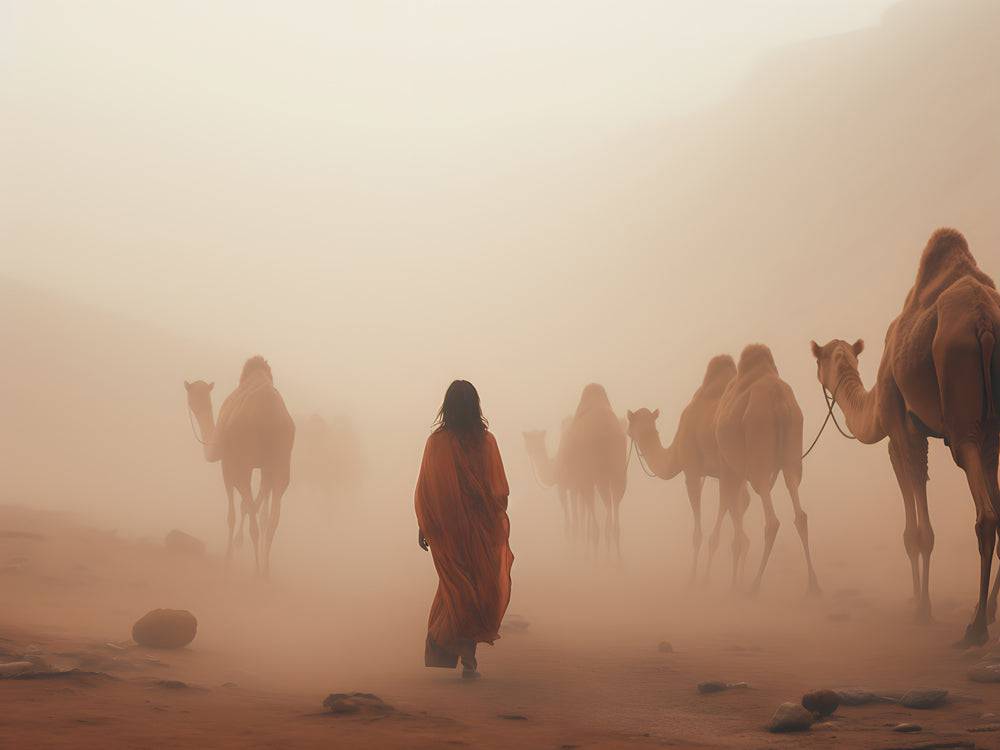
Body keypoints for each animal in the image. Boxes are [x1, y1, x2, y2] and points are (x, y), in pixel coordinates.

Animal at [185, 356, 294, 580]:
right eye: (194, 395)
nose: (193, 404)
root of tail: (270, 415)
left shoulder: (228, 465)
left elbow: (232, 515)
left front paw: (228, 561)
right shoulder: (264, 469)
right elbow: (256, 508)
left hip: (244, 463)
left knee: (253, 519)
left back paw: (255, 570)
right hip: (281, 464)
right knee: (272, 518)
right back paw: (265, 571)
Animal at [564, 384, 624, 556]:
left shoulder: (583, 479)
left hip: (597, 475)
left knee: (603, 512)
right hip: (618, 474)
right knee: (614, 508)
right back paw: (617, 556)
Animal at [624, 356, 752, 588]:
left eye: (631, 423)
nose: (627, 431)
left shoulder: (692, 471)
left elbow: (698, 534)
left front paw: (693, 579)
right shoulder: (718, 476)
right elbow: (738, 507)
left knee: (728, 515)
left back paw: (714, 580)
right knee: (741, 522)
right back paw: (739, 581)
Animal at [720, 346, 820, 600]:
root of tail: (779, 401)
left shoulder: (728, 468)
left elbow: (733, 513)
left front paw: (734, 585)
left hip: (759, 458)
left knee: (772, 520)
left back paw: (754, 586)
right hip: (792, 455)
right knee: (800, 512)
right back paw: (813, 585)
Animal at [812, 228, 1000, 648]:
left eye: (819, 360)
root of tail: (984, 320)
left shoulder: (903, 430)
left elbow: (916, 533)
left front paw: (921, 608)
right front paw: (918, 599)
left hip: (962, 418)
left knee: (985, 514)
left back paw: (976, 627)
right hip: (993, 433)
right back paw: (988, 614)